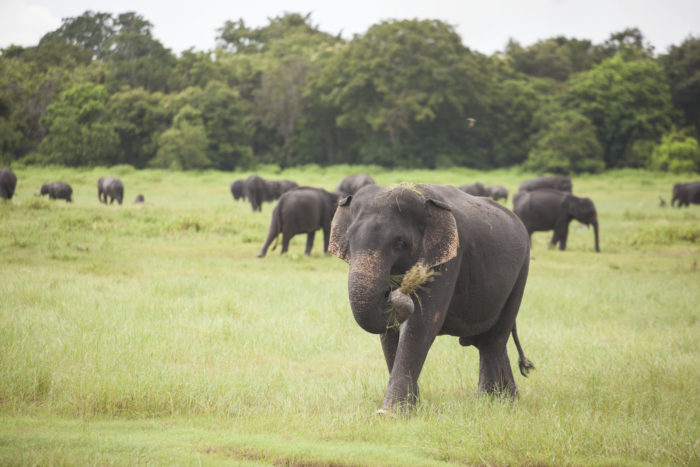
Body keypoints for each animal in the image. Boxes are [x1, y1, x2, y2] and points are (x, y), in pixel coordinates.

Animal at [326, 183, 532, 414]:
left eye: (400, 243)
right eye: (349, 238)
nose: (396, 292)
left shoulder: (447, 260)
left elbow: (421, 323)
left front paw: (391, 413)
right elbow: (389, 332)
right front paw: (410, 405)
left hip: (520, 274)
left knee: (493, 340)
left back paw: (489, 400)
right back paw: (505, 399)